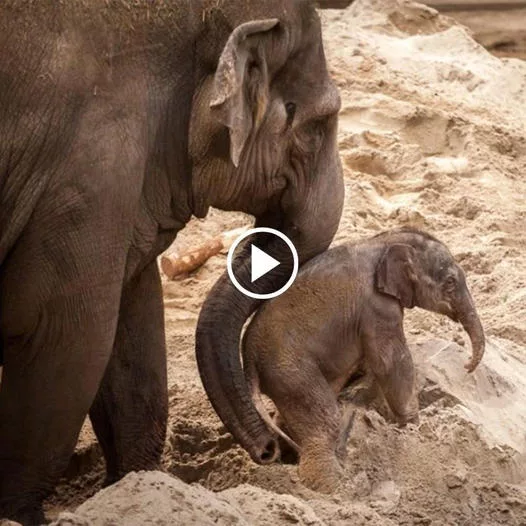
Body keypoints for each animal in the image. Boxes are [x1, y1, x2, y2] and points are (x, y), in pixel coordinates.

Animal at [1, 0, 354, 524]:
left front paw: (137, 489)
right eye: (315, 126)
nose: (276, 451)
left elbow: (134, 321)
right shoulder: (91, 169)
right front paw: (22, 514)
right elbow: (63, 334)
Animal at [243, 228, 486, 496]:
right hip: (291, 370)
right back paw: (334, 488)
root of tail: (248, 357)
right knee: (326, 421)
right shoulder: (377, 306)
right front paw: (414, 428)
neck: (381, 242)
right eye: (450, 282)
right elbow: (392, 361)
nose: (467, 366)